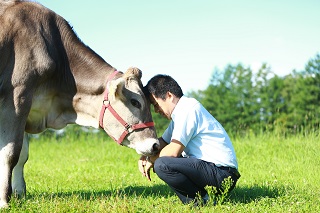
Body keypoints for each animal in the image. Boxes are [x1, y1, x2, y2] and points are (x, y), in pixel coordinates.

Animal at [0, 0, 160, 208]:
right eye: (135, 102)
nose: (156, 145)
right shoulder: (17, 96)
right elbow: (10, 152)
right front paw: (4, 200)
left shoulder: (29, 108)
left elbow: (22, 155)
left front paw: (19, 194)